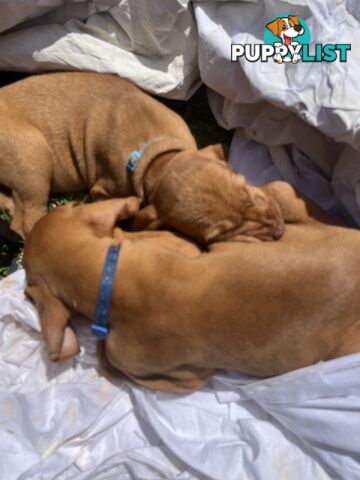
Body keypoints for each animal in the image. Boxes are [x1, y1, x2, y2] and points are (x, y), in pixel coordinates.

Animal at [0, 71, 284, 244]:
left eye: (247, 189)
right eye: (219, 234)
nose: (279, 230)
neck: (156, 160)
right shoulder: (104, 190)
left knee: (13, 211)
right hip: (34, 155)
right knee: (27, 221)